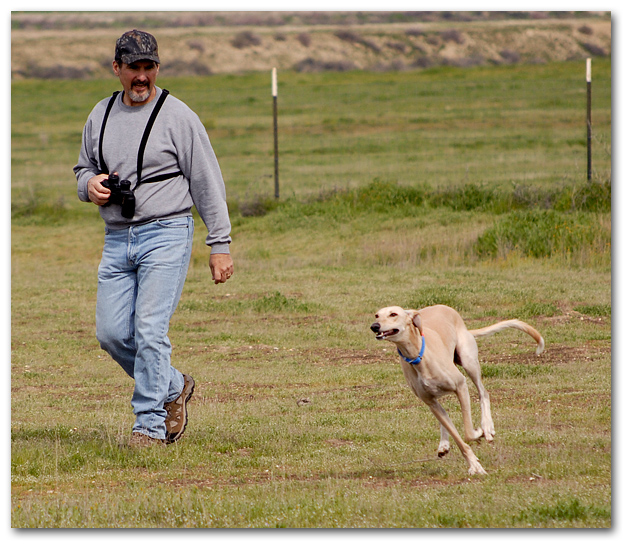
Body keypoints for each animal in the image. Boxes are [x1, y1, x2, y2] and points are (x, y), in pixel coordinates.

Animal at [370, 304, 544, 474]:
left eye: (393, 314)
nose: (374, 326)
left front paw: (479, 433)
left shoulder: (461, 385)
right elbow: (459, 438)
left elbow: (468, 433)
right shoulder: (430, 402)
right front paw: (474, 465)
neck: (418, 356)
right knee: (445, 415)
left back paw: (487, 427)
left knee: (483, 392)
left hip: (469, 361)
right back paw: (444, 444)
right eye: (376, 315)